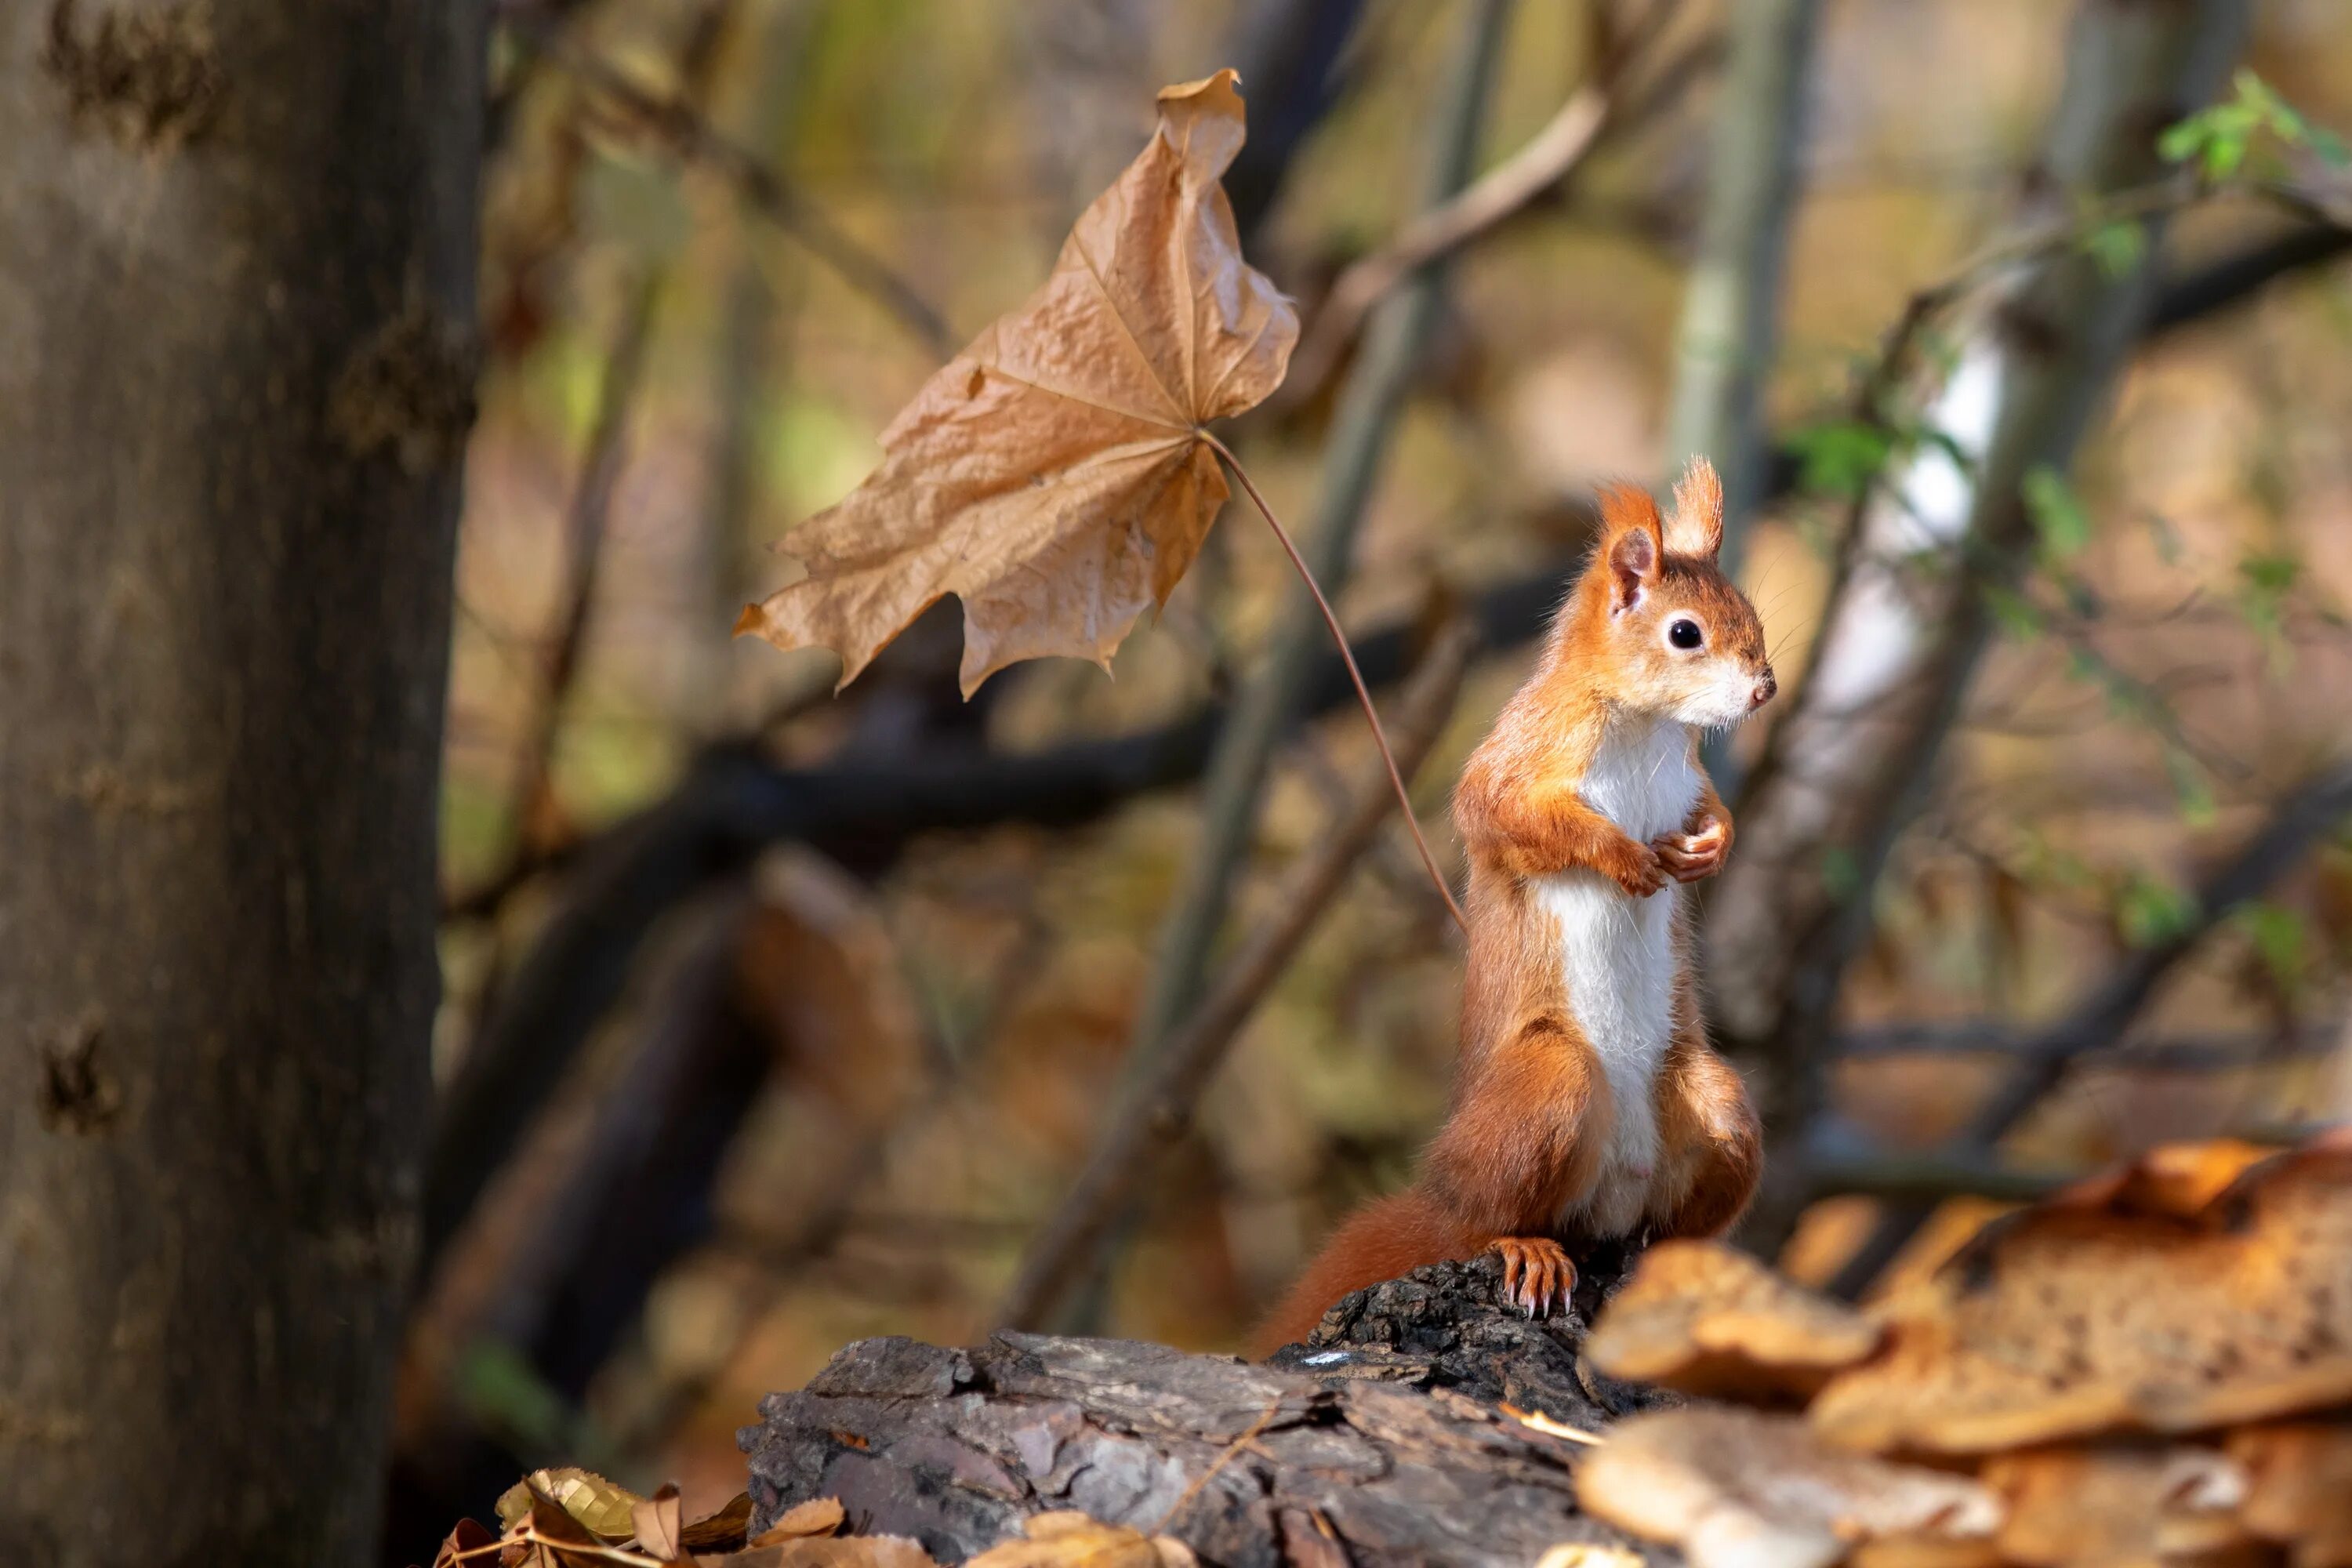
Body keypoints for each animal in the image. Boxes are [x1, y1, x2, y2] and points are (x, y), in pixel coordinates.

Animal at [1261, 460, 1769, 1354]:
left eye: (1746, 606)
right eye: (1685, 633)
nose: (1764, 688)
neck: (1642, 726)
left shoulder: (1688, 778)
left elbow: (1711, 808)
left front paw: (1712, 846)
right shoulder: (1521, 756)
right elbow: (1509, 816)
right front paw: (1622, 856)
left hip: (1715, 1108)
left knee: (1665, 1215)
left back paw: (1672, 1259)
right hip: (1546, 1086)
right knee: (1484, 1221)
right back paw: (1523, 1242)